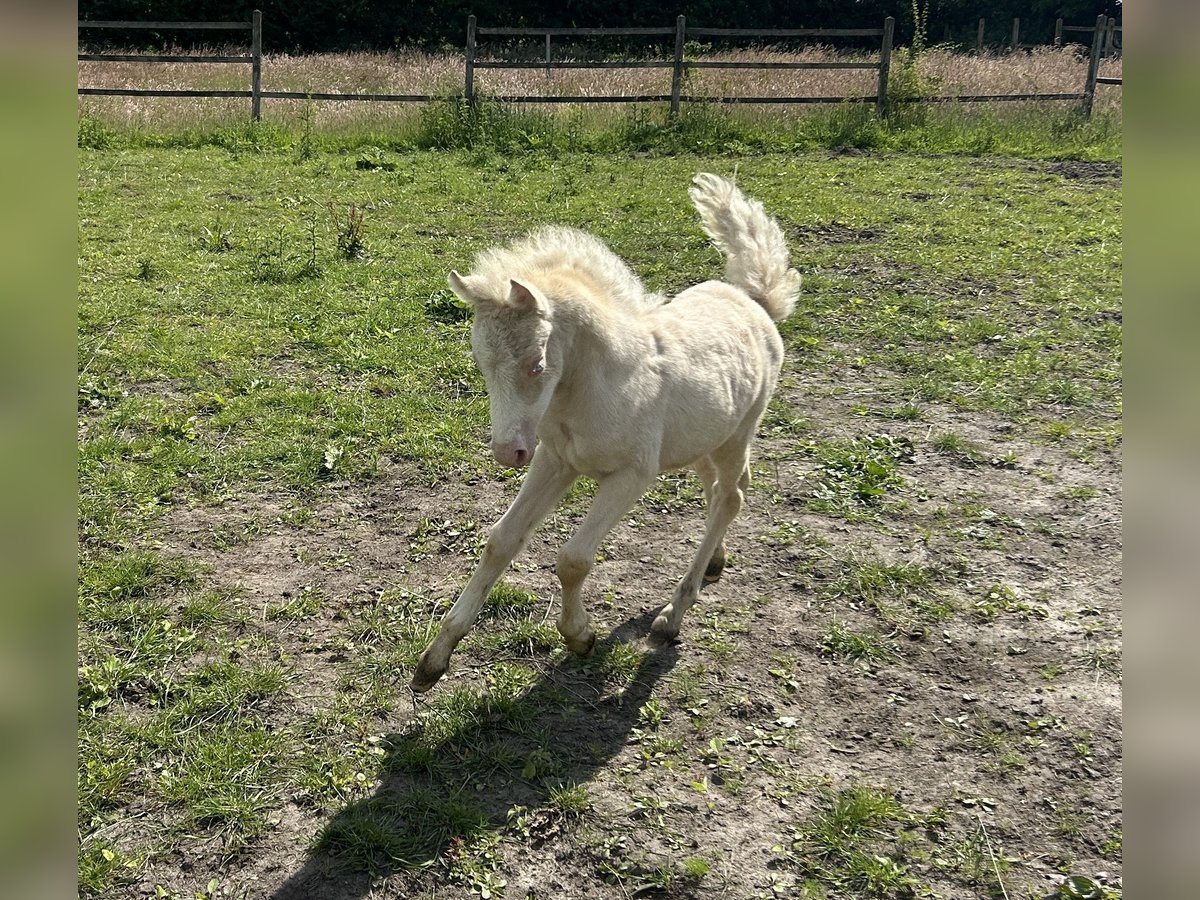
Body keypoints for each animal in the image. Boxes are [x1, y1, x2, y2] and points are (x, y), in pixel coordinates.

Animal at [410, 177, 796, 696]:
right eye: (481, 363)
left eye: (537, 364)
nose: (507, 452)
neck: (595, 386)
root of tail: (755, 301)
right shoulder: (554, 460)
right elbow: (501, 541)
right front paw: (434, 660)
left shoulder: (632, 474)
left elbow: (573, 559)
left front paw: (580, 637)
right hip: (700, 440)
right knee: (720, 489)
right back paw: (715, 562)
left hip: (738, 433)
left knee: (730, 496)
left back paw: (674, 614)